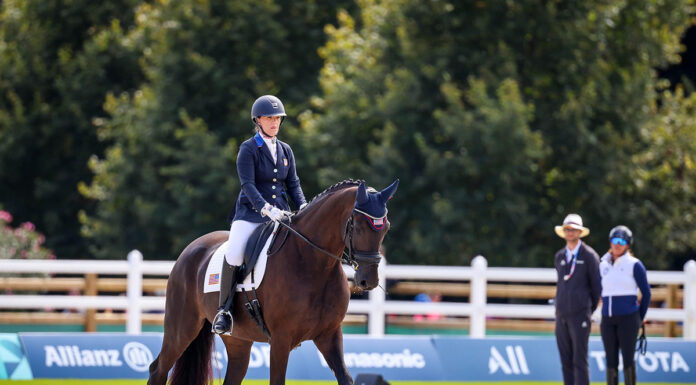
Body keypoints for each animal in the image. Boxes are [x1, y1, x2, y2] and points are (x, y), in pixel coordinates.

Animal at [147, 178, 396, 384]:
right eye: (358, 226)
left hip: (238, 340)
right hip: (182, 328)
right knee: (158, 368)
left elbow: (345, 378)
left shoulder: (329, 335)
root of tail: (189, 250)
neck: (312, 262)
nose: (368, 281)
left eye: (386, 227)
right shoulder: (280, 340)